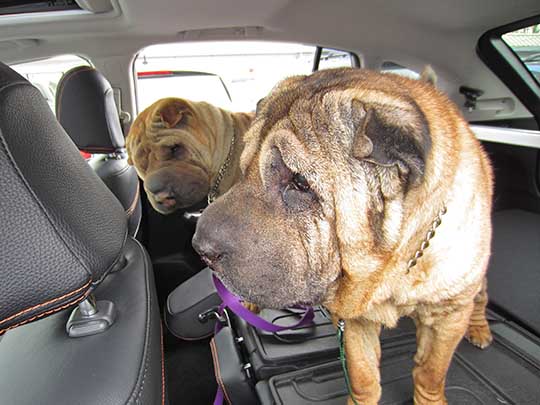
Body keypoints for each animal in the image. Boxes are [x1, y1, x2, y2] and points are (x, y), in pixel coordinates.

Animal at [194, 68, 494, 402]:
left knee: (481, 297)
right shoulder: (358, 323)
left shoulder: (447, 317)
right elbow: (363, 376)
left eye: (299, 183)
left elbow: (431, 372)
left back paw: (480, 329)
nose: (200, 246)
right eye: (245, 167)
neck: (395, 264)